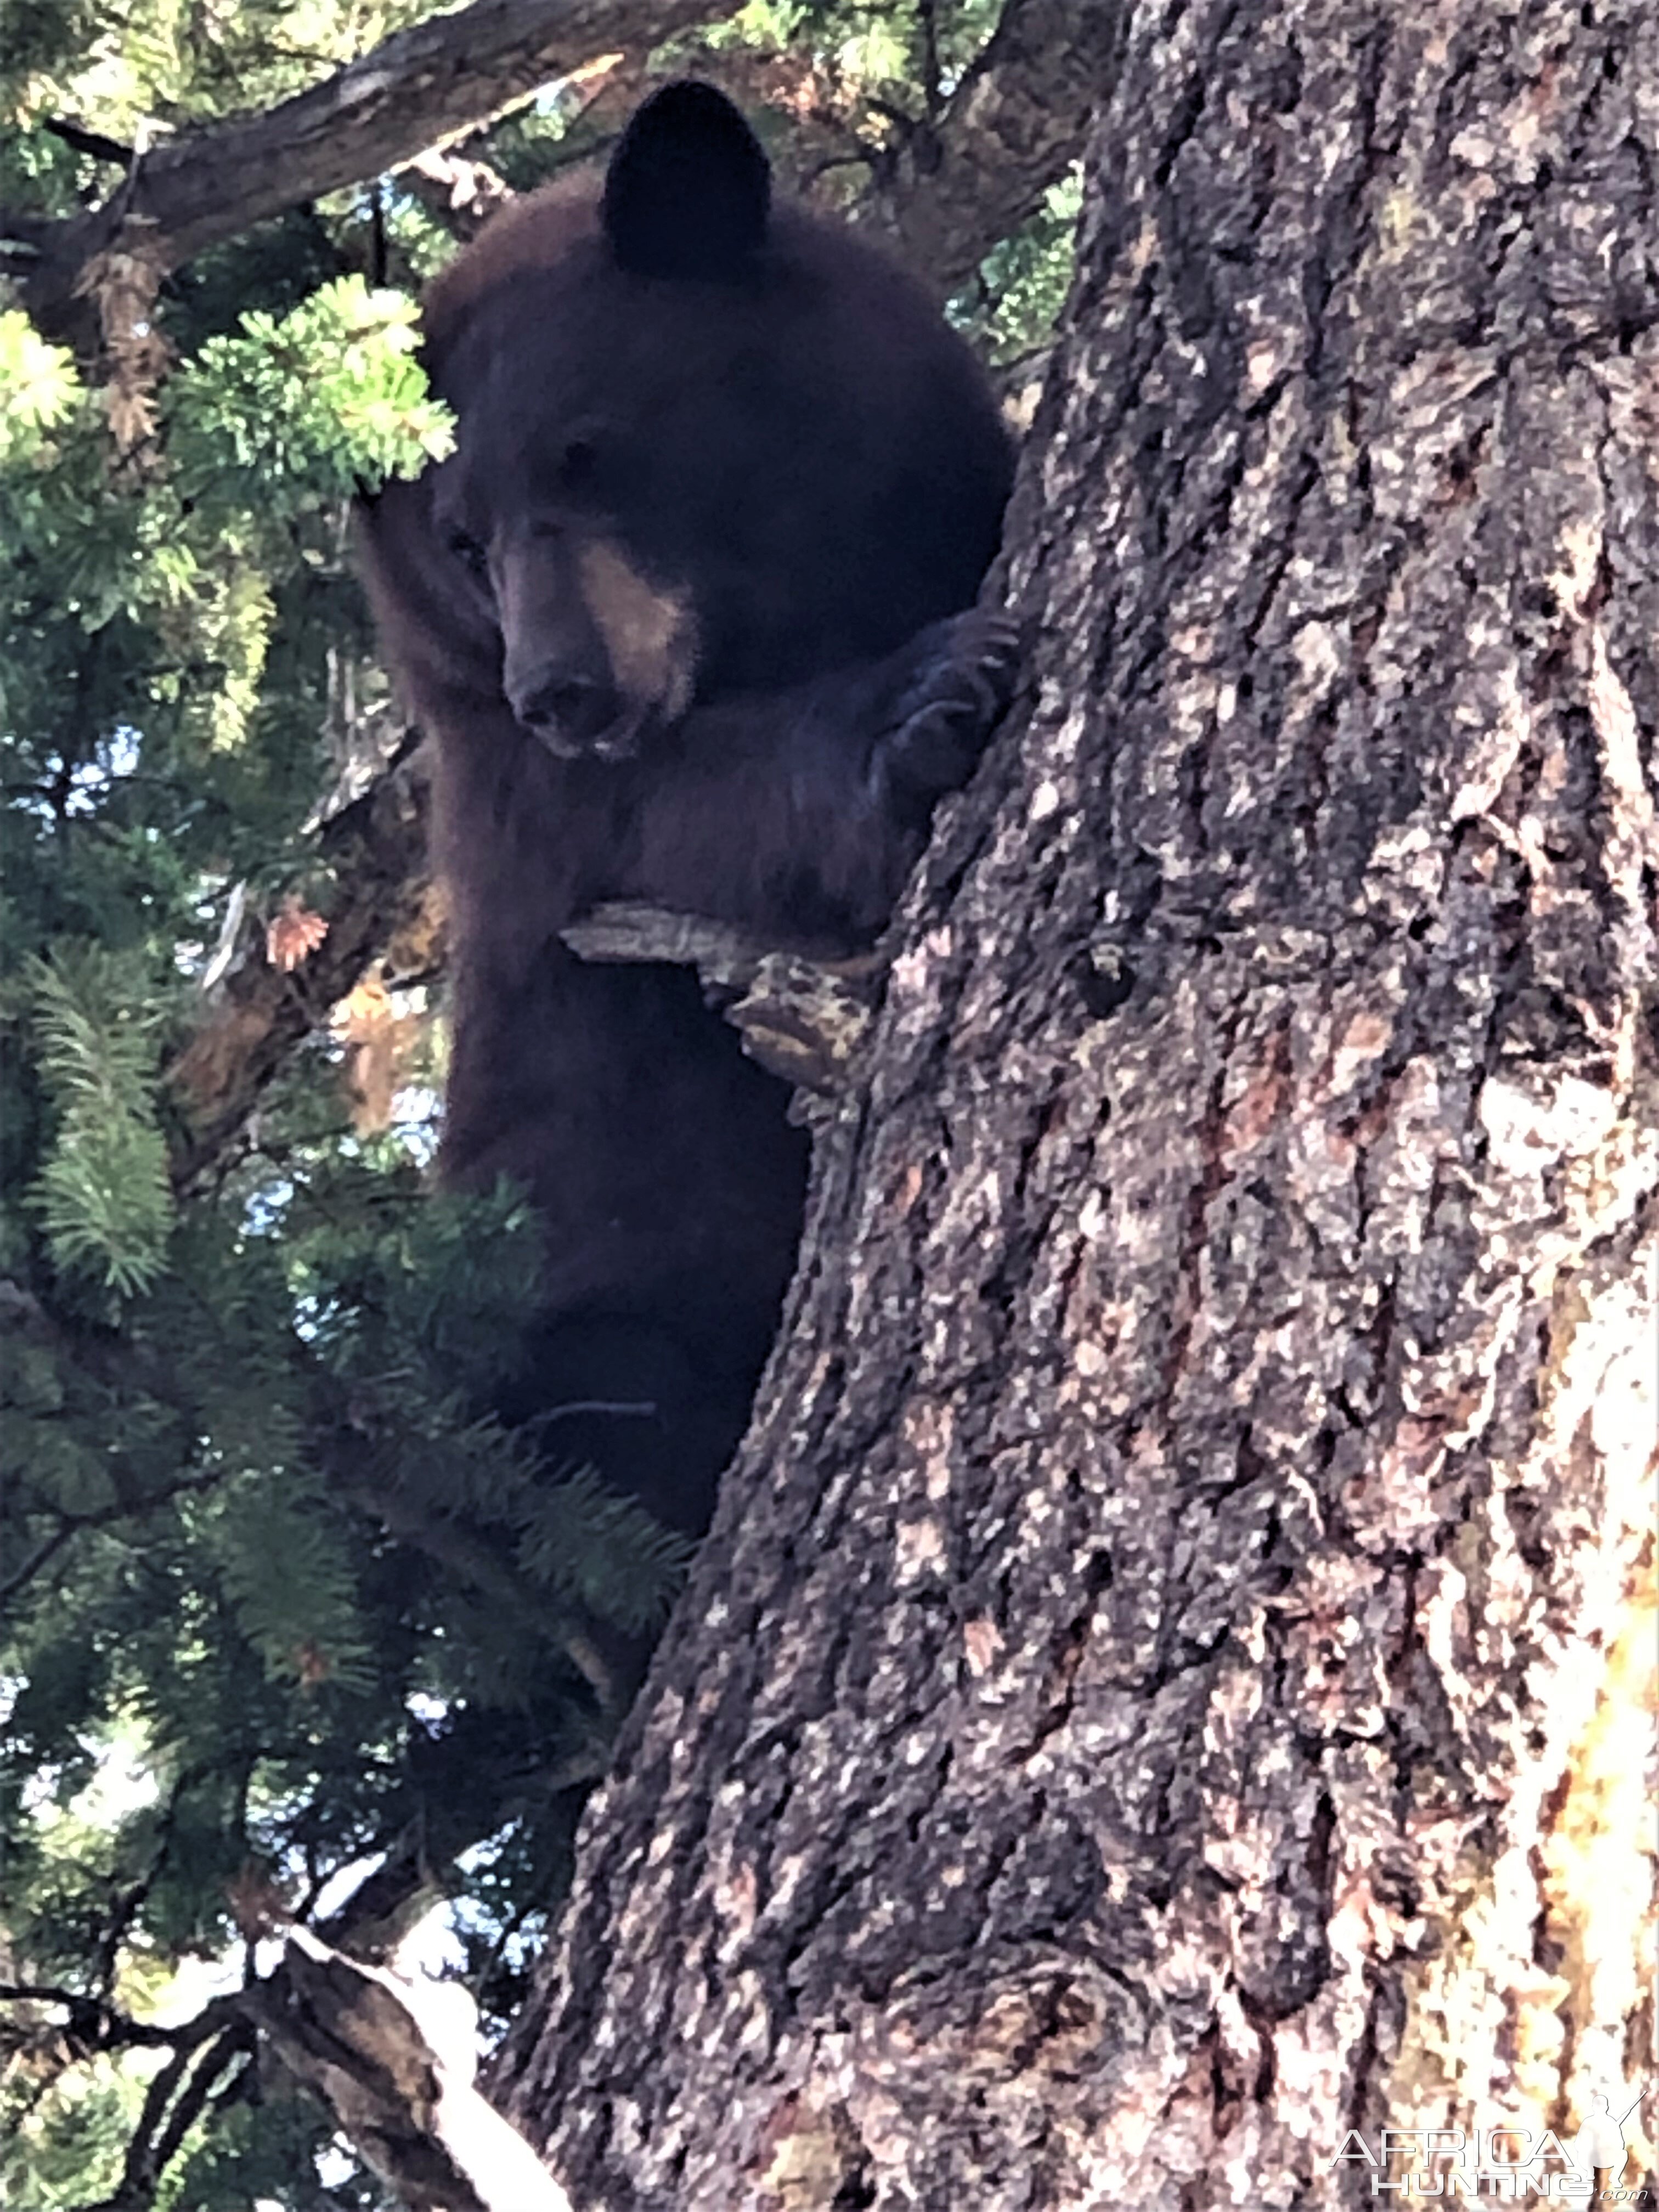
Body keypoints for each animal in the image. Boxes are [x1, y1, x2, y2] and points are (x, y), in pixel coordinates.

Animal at [358, 82, 1022, 1557]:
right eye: (464, 541)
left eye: (589, 452)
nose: (561, 689)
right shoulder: (521, 800)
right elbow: (683, 825)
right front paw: (922, 707)